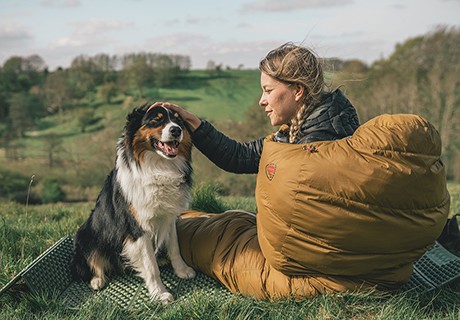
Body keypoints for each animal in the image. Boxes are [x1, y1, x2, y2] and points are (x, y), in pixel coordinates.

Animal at [69, 104, 195, 304]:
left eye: (178, 121)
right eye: (156, 120)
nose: (176, 130)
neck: (157, 167)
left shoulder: (168, 217)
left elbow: (175, 248)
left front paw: (182, 270)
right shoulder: (137, 227)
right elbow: (150, 265)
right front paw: (159, 293)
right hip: (85, 236)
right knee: (90, 263)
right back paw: (97, 280)